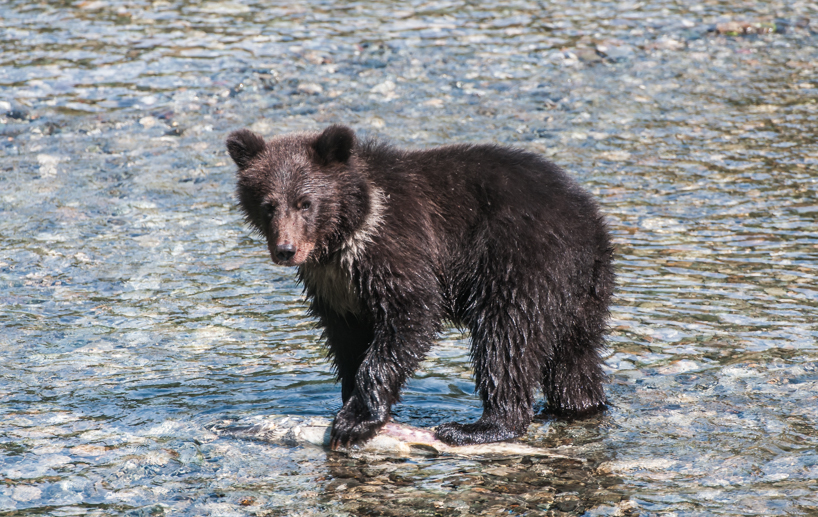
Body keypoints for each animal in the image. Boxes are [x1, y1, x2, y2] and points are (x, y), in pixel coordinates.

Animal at [227, 125, 614, 448]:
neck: (349, 235)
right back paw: (578, 406)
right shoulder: (335, 289)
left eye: (305, 202)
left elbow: (411, 315)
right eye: (268, 205)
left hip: (519, 264)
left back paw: (478, 427)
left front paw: (355, 421)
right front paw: (349, 400)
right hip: (583, 293)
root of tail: (590, 224)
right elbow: (347, 341)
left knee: (506, 340)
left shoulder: (397, 247)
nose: (286, 250)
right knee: (574, 358)